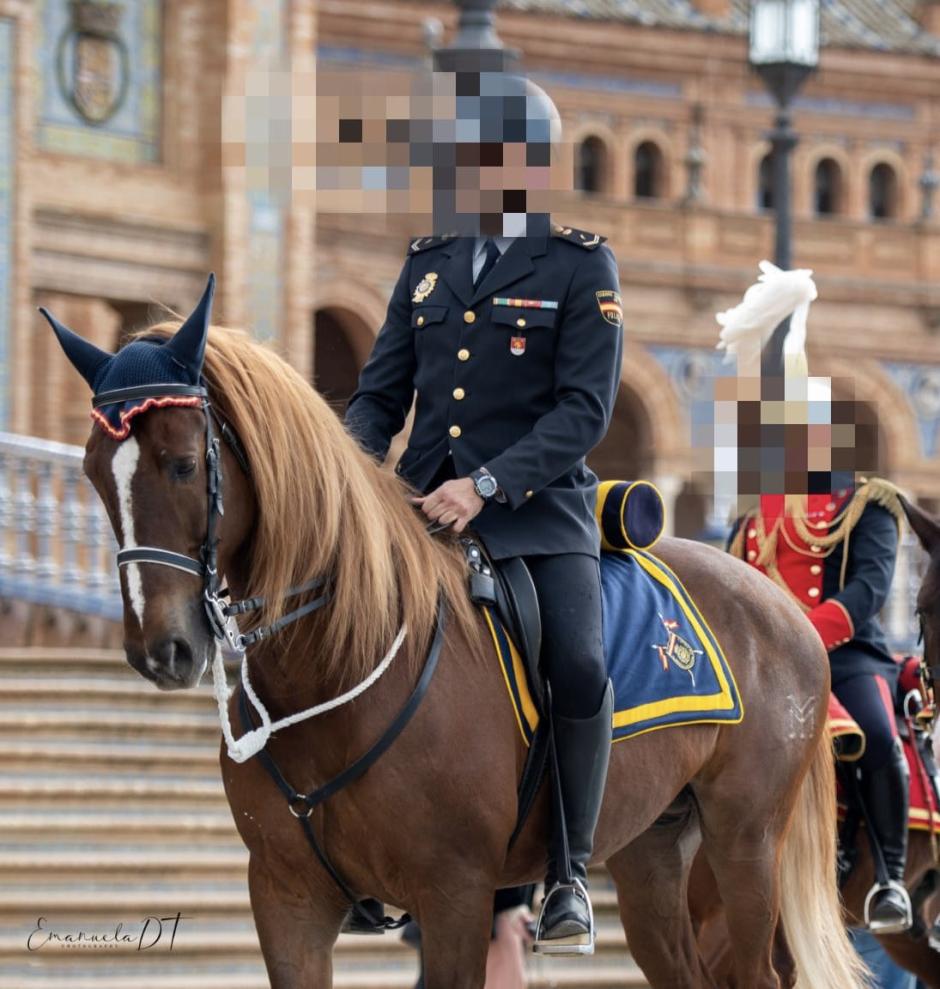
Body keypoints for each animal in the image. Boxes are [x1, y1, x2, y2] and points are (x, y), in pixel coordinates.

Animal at [57, 308, 868, 988]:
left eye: (184, 464)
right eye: (95, 472)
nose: (160, 648)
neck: (333, 673)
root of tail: (781, 604)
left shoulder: (456, 896)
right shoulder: (286, 899)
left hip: (745, 843)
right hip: (652, 851)